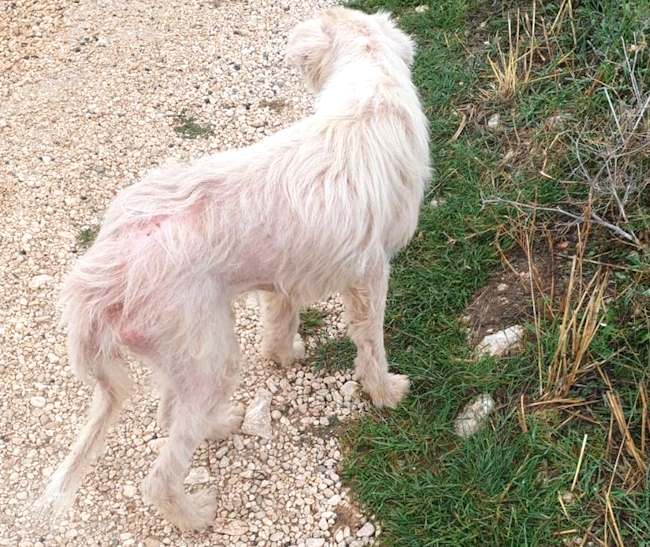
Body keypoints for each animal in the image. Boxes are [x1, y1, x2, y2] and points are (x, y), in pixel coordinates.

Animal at [38, 6, 428, 532]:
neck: (368, 86)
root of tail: (101, 275)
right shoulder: (370, 275)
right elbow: (371, 341)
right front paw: (385, 390)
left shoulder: (281, 280)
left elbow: (280, 323)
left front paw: (286, 356)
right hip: (212, 360)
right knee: (160, 473)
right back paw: (194, 513)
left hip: (186, 358)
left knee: (170, 414)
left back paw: (218, 423)